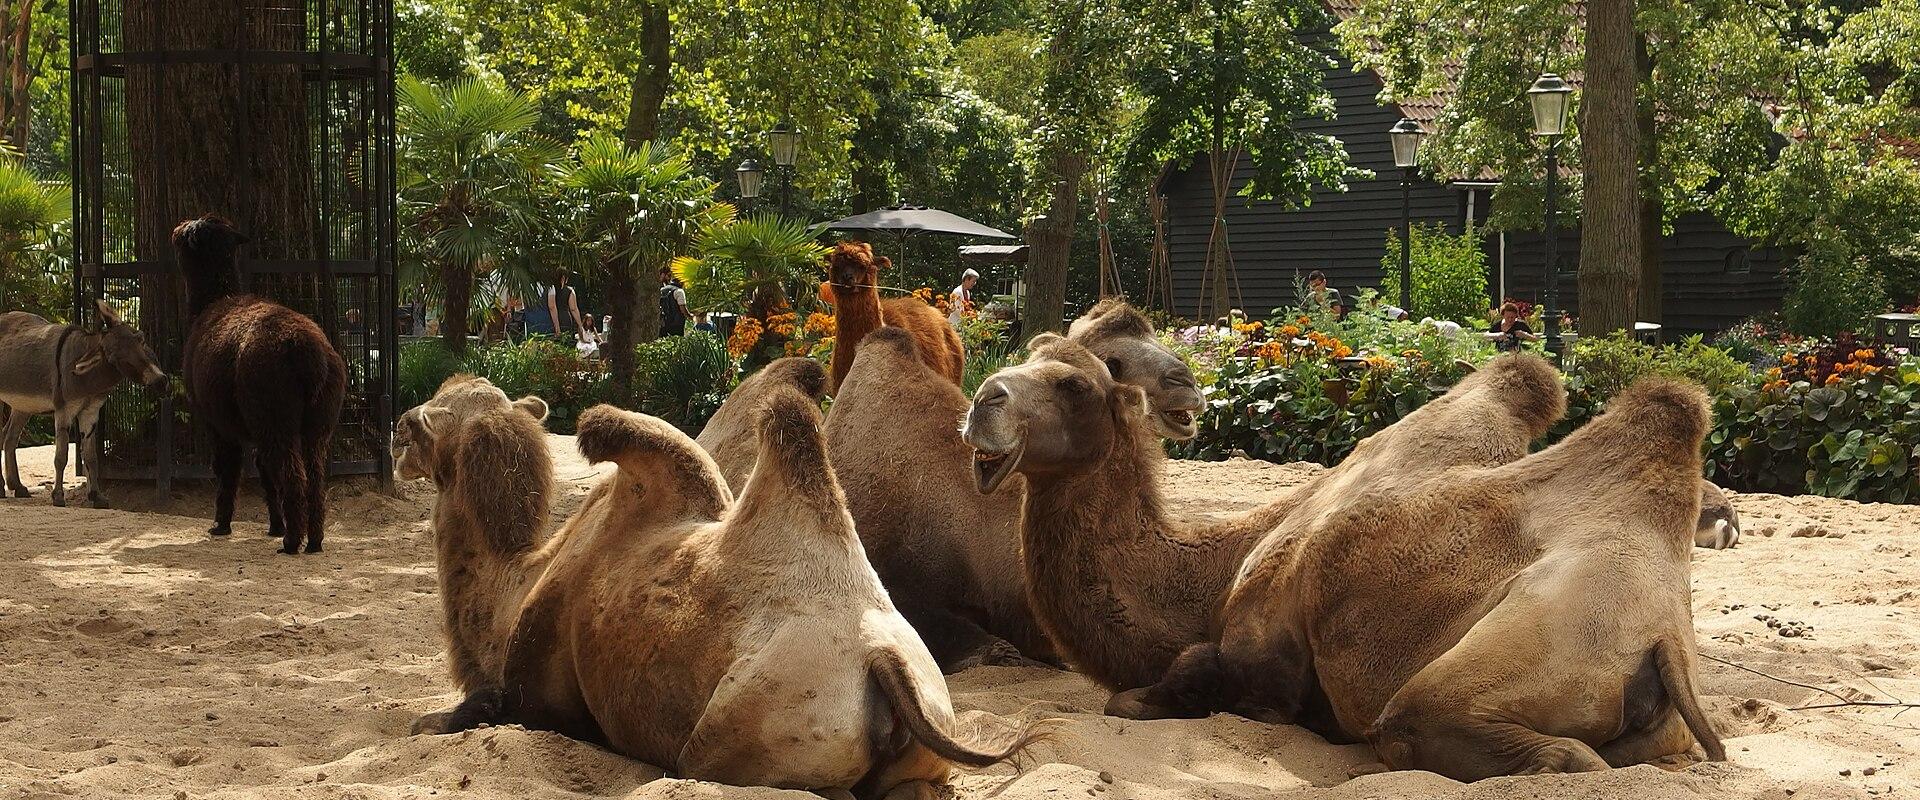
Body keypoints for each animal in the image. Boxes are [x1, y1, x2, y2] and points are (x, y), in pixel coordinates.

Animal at [409, 385, 1040, 797]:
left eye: (420, 426)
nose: (399, 425)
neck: (520, 582)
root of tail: (885, 664)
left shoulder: (534, 696)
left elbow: (468, 715)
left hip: (747, 733)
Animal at [961, 338, 1725, 781]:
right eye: (1031, 352)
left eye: (1075, 386)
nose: (983, 399)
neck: (1212, 574)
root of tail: (1664, 640)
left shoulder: (1259, 652)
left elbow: (1164, 684)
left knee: (1449, 728)